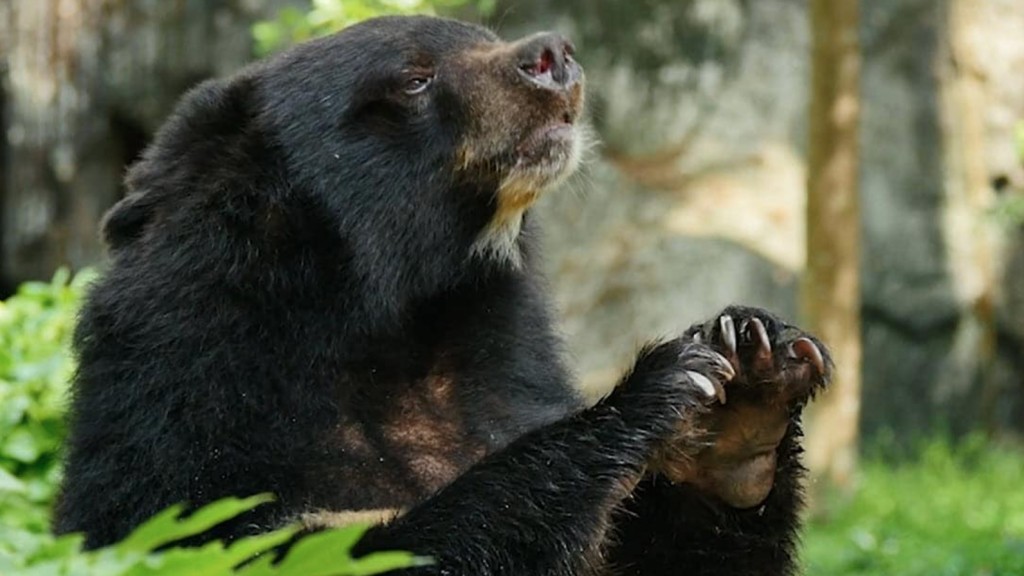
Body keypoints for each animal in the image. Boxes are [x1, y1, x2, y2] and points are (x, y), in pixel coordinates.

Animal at [53, 15, 832, 576]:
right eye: (414, 77)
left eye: (482, 35)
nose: (554, 54)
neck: (408, 322)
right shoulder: (189, 423)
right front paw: (657, 386)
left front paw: (747, 381)